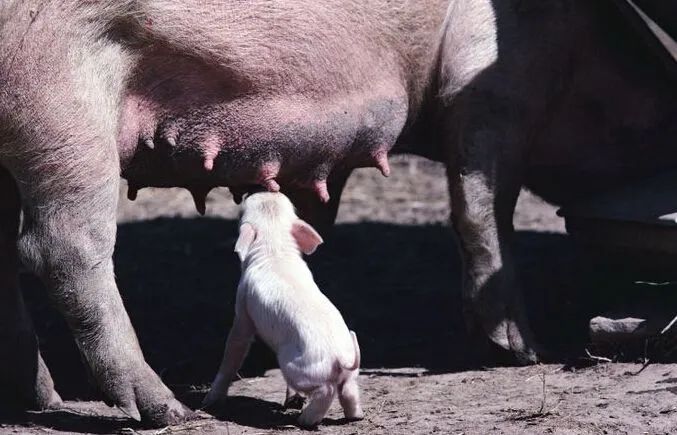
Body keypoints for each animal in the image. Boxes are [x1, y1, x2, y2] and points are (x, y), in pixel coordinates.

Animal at [0, 0, 672, 430]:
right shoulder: (491, 83)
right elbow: (482, 203)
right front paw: (523, 352)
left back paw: (41, 400)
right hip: (58, 96)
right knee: (60, 248)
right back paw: (168, 411)